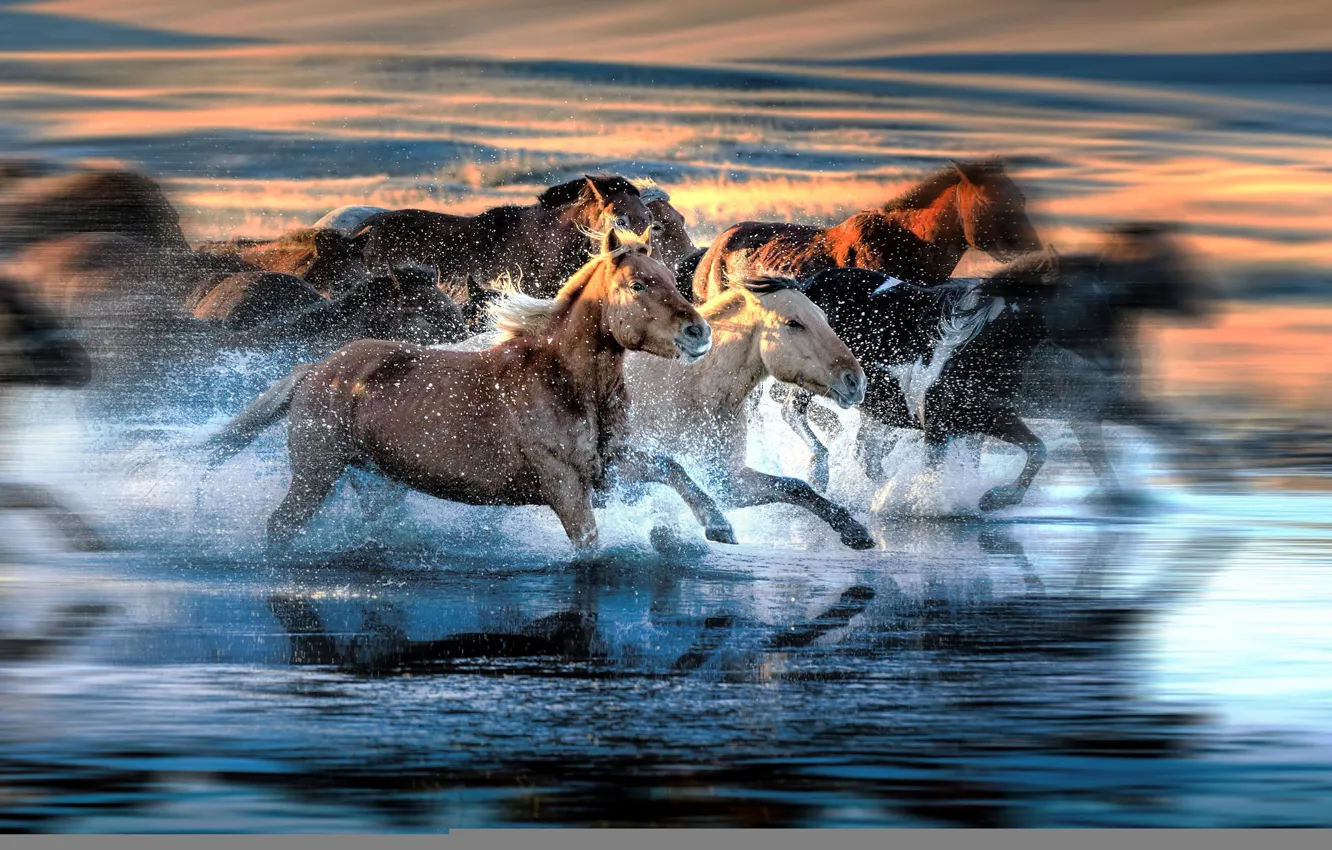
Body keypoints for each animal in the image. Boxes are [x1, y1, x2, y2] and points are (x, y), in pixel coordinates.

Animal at [204, 227, 736, 551]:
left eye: (669, 277)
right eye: (637, 285)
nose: (699, 333)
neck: (565, 383)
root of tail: (316, 370)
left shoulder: (609, 467)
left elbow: (673, 468)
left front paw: (721, 527)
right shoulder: (563, 484)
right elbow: (589, 543)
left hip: (375, 484)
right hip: (315, 475)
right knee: (280, 526)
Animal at [623, 276, 873, 549]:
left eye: (824, 318)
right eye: (793, 323)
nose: (856, 382)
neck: (687, 390)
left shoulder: (726, 478)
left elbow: (795, 487)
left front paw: (853, 528)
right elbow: (669, 467)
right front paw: (717, 523)